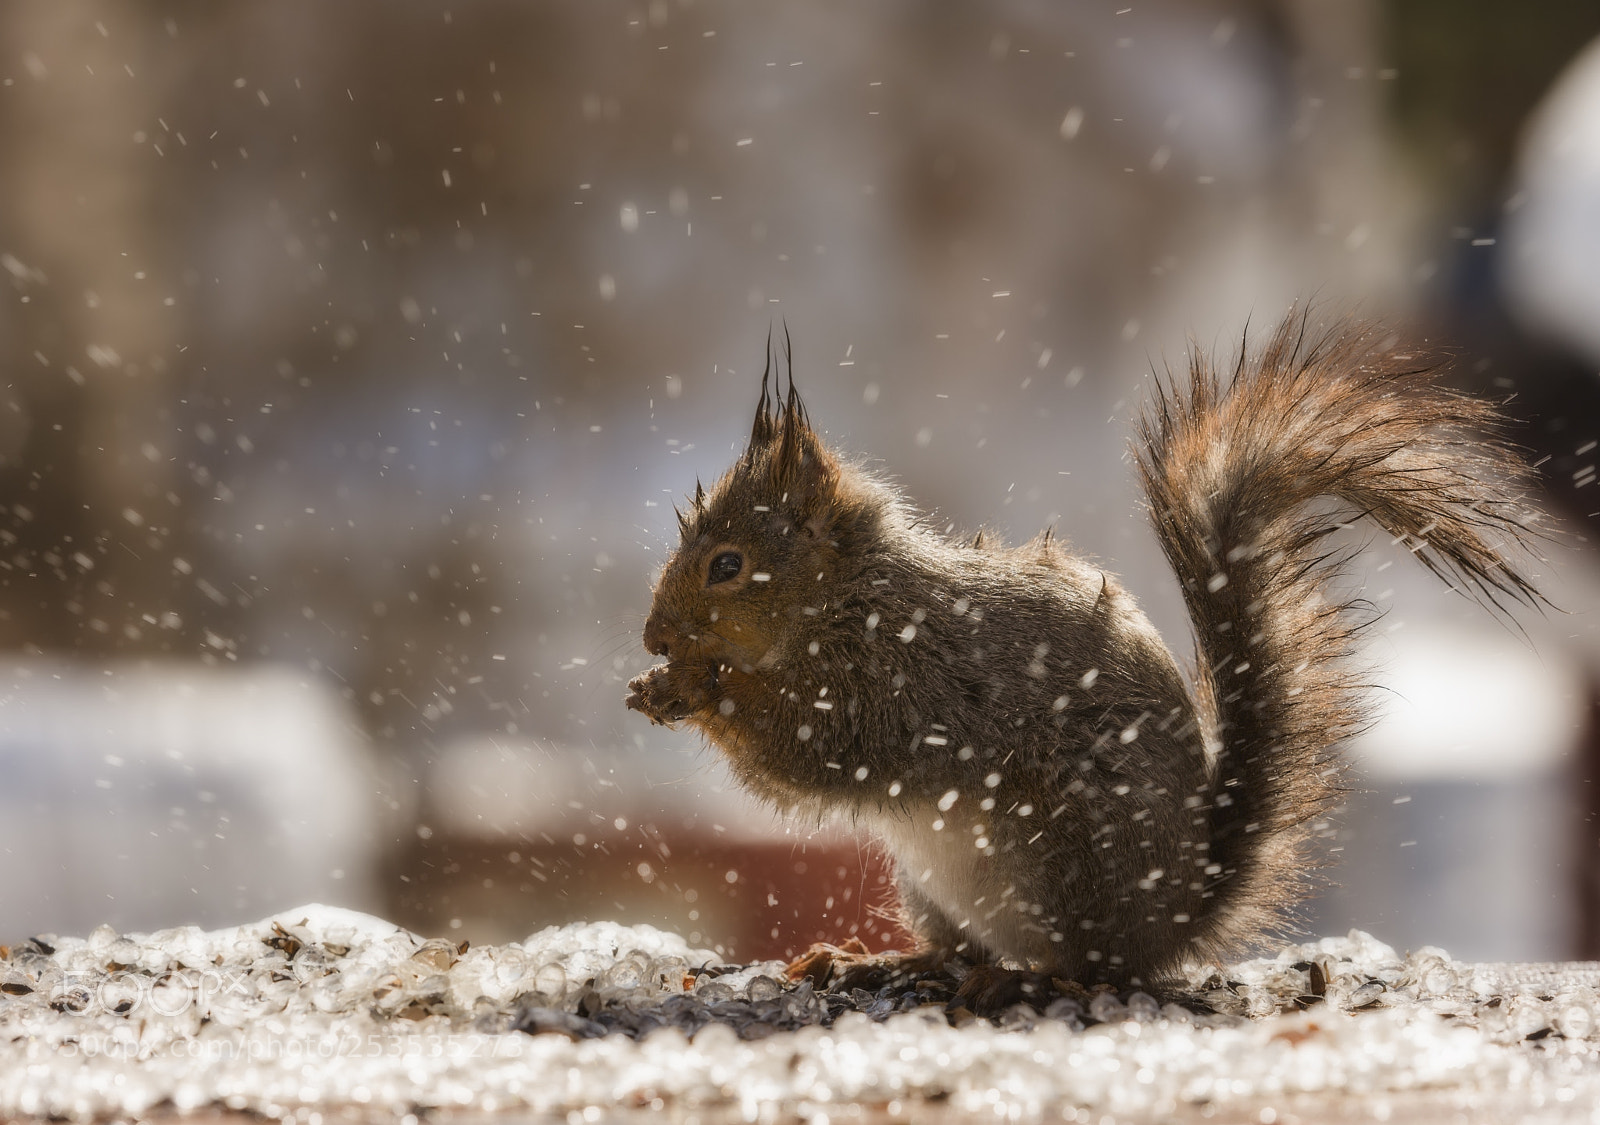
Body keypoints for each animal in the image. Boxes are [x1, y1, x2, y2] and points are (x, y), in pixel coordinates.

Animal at [626, 312, 1544, 988]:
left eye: (728, 565)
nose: (653, 635)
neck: (853, 598)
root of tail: (1173, 918)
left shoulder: (899, 683)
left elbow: (813, 751)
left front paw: (696, 688)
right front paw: (653, 684)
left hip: (1062, 852)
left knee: (1084, 964)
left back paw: (1022, 981)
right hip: (932, 886)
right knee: (962, 948)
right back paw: (880, 961)